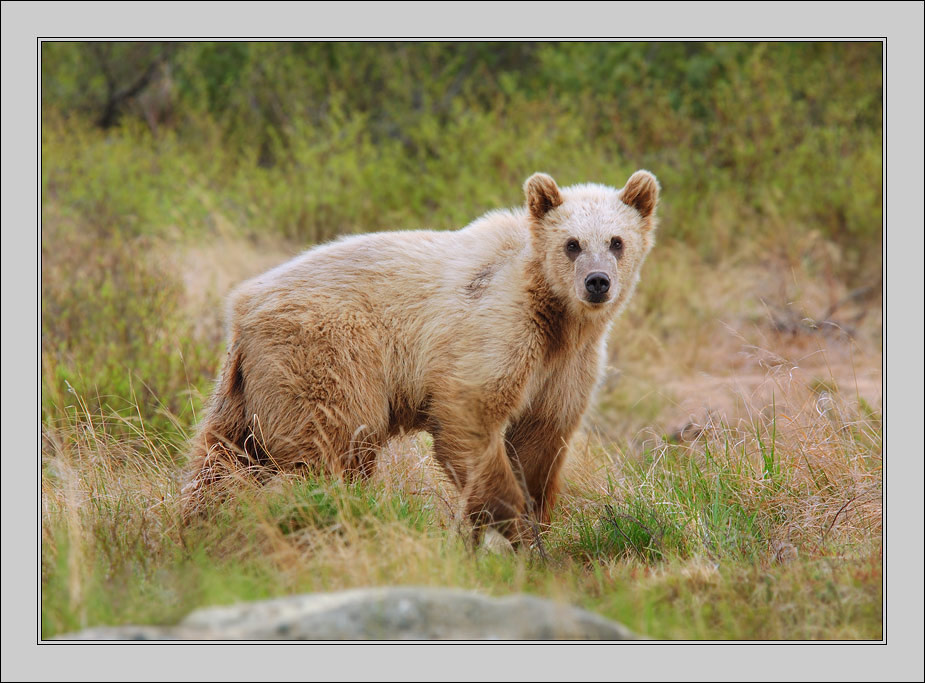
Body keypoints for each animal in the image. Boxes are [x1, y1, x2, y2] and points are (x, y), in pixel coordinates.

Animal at [181, 170, 660, 544]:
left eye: (616, 242)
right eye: (572, 244)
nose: (597, 282)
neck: (557, 316)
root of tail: (241, 306)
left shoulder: (565, 366)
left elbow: (540, 438)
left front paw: (535, 523)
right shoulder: (497, 330)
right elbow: (472, 419)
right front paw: (508, 526)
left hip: (245, 385)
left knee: (223, 455)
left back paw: (199, 520)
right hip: (327, 355)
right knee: (334, 444)